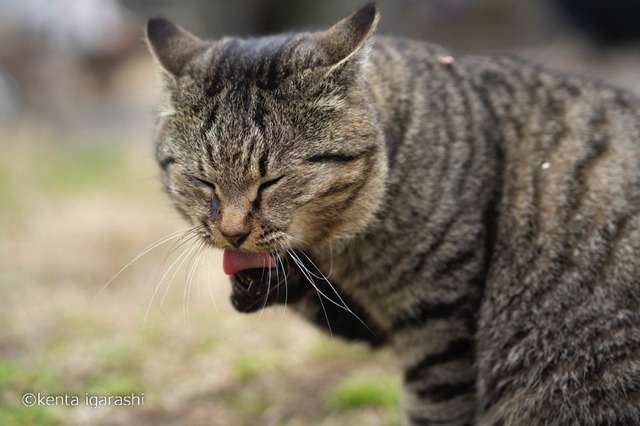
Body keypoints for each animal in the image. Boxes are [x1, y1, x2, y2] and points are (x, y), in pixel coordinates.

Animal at [145, 3, 640, 426]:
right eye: (204, 181)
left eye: (271, 181)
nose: (232, 232)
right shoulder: (367, 316)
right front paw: (259, 281)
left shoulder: (438, 326)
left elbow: (433, 409)